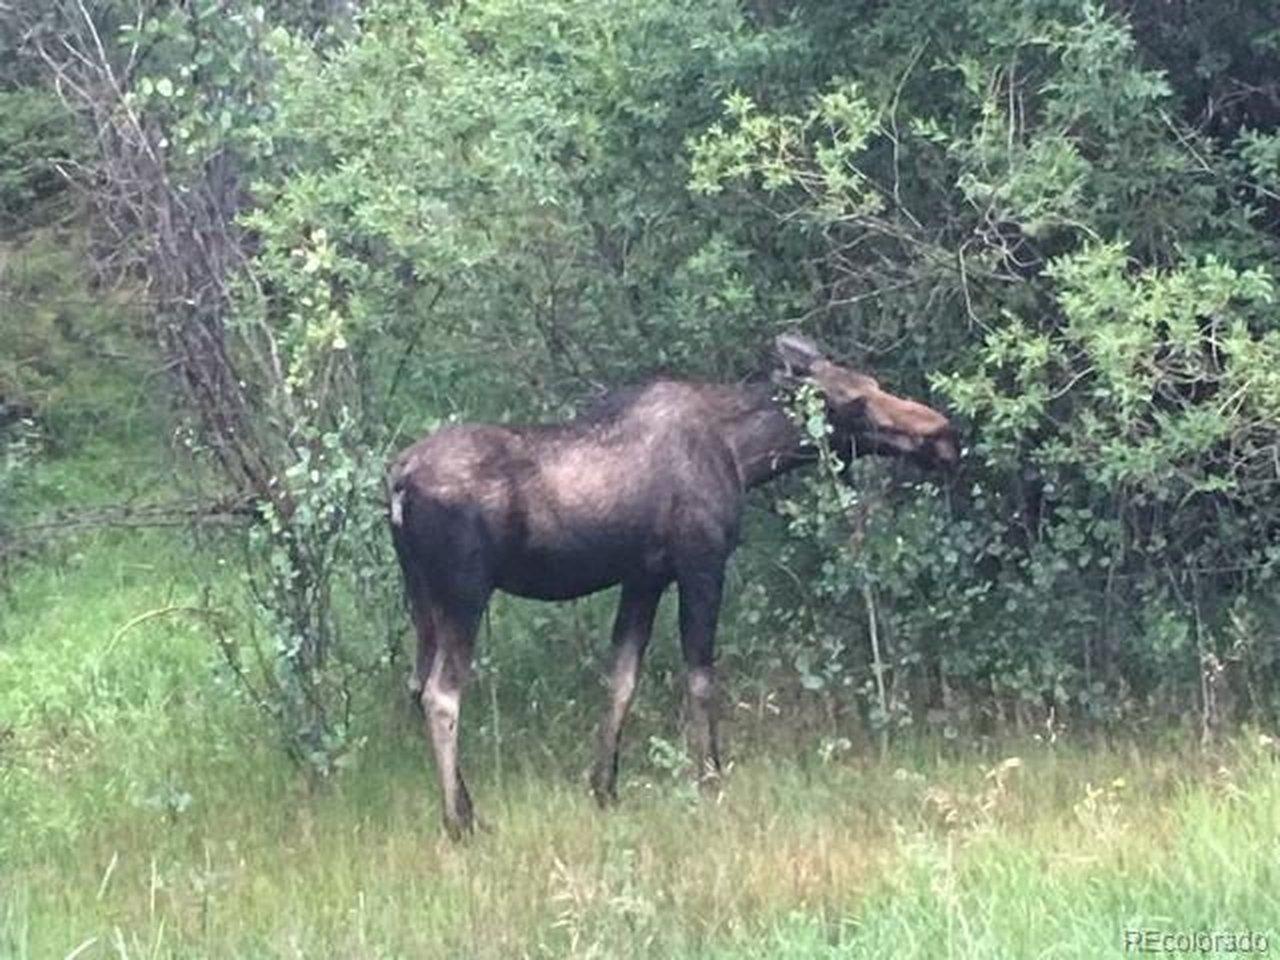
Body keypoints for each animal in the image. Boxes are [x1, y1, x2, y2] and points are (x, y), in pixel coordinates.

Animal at [387, 334, 958, 837]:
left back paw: (469, 810)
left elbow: (622, 678)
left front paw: (604, 788)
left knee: (416, 685)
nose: (945, 435)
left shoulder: (645, 577)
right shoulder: (701, 562)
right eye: (854, 401)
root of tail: (397, 481)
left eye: (874, 382)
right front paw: (710, 778)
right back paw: (459, 824)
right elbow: (700, 677)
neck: (746, 456)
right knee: (442, 694)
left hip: (421, 597)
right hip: (464, 591)